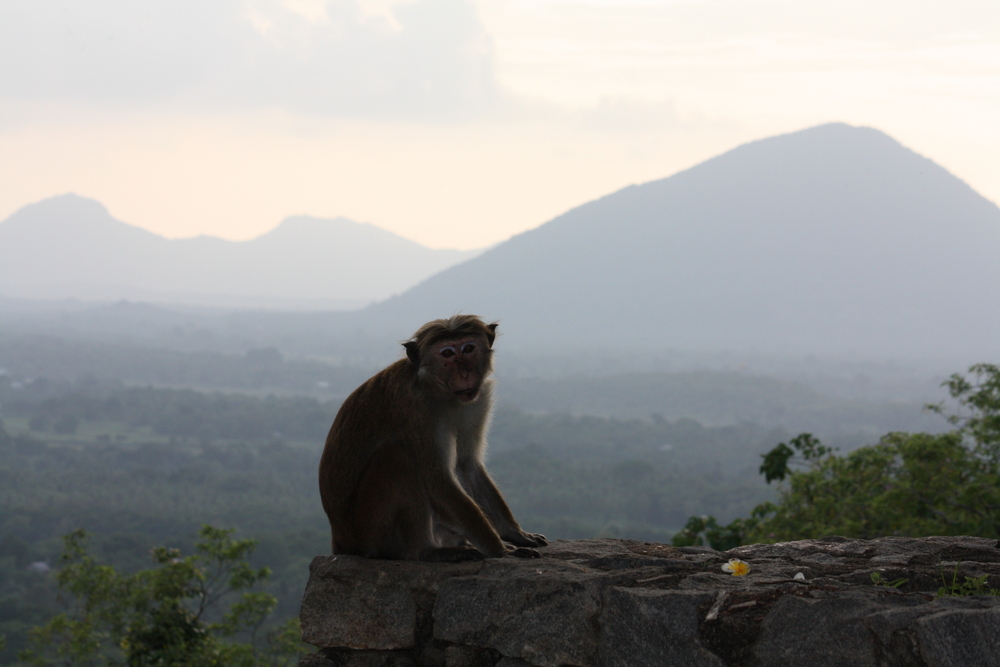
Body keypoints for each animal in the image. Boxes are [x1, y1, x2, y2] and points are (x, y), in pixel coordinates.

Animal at [318, 316, 548, 560]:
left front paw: (515, 534)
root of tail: (341, 541)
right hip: (368, 528)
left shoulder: (477, 402)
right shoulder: (417, 409)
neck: (440, 390)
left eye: (468, 349)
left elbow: (467, 465)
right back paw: (427, 551)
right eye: (447, 353)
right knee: (397, 455)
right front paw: (501, 551)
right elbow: (438, 479)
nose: (464, 372)